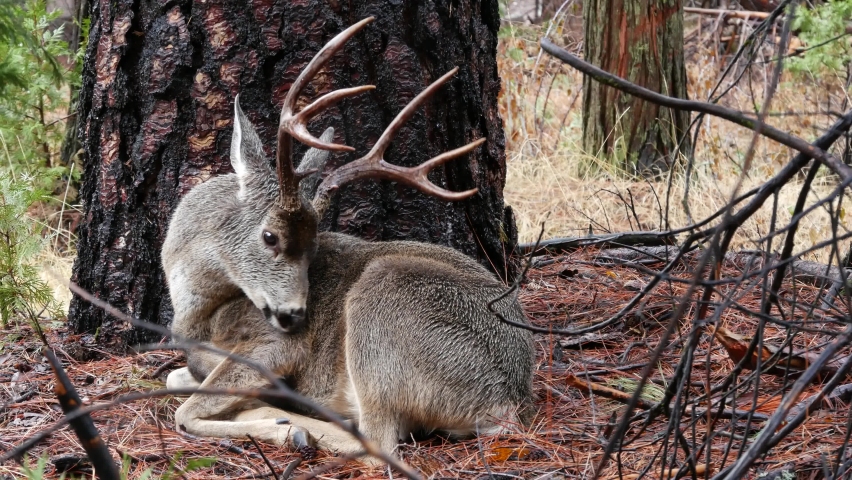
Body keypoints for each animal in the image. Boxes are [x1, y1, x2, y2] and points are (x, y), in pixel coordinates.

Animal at [162, 17, 534, 464]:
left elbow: (185, 410)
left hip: (384, 303)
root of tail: (508, 402)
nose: (295, 315)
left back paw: (292, 424)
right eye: (270, 237)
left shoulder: (275, 347)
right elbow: (174, 378)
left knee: (377, 442)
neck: (198, 313)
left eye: (312, 248)